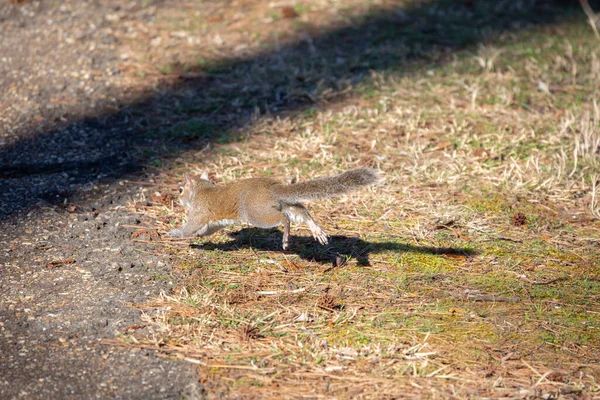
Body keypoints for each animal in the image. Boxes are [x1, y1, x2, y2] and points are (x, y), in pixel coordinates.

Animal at [170, 166, 380, 248]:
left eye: (180, 189)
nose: (177, 200)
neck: (202, 189)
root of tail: (273, 188)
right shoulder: (213, 221)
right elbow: (206, 229)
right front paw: (198, 236)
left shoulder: (199, 211)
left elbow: (191, 226)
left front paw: (176, 233)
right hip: (285, 205)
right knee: (302, 211)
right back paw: (317, 231)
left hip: (257, 213)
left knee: (283, 219)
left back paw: (286, 239)